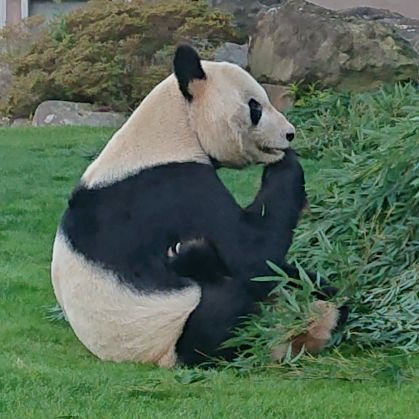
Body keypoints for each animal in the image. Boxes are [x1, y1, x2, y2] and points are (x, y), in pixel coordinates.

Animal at [51, 45, 348, 368]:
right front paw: (286, 160)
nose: (289, 133)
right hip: (173, 327)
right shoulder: (175, 188)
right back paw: (195, 259)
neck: (172, 130)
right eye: (255, 107)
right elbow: (251, 252)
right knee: (227, 311)